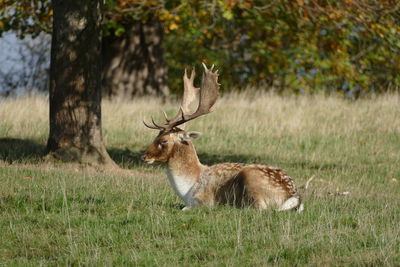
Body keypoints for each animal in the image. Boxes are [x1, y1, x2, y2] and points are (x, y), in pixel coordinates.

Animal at [142, 63, 302, 213]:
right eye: (156, 136)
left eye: (164, 140)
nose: (144, 156)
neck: (188, 189)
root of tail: (293, 195)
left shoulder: (203, 201)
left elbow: (184, 208)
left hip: (252, 177)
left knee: (260, 208)